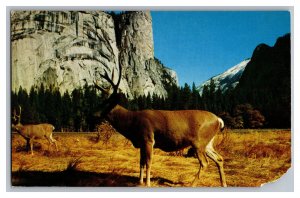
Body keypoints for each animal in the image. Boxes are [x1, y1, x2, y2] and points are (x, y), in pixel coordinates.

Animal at [95, 64, 226, 187]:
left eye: (106, 103)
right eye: (100, 102)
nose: (94, 113)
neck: (131, 122)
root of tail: (218, 120)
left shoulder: (148, 138)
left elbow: (148, 162)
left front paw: (147, 183)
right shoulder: (142, 143)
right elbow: (141, 162)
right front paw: (140, 181)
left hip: (199, 142)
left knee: (204, 163)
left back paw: (192, 184)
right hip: (207, 143)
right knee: (219, 158)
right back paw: (223, 184)